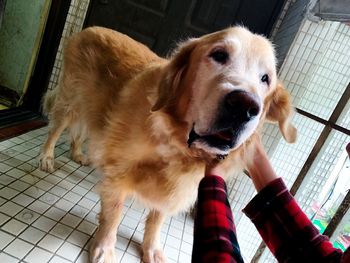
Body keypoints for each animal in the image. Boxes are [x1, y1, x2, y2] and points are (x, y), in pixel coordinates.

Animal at [37, 26, 296, 263]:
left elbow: (156, 220)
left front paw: (151, 250)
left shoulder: (175, 189)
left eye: (265, 79)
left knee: (80, 132)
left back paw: (77, 153)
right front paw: (105, 249)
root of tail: (88, 29)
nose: (244, 106)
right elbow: (113, 215)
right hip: (71, 100)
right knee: (56, 129)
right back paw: (46, 158)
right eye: (219, 55)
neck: (176, 146)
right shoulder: (118, 170)